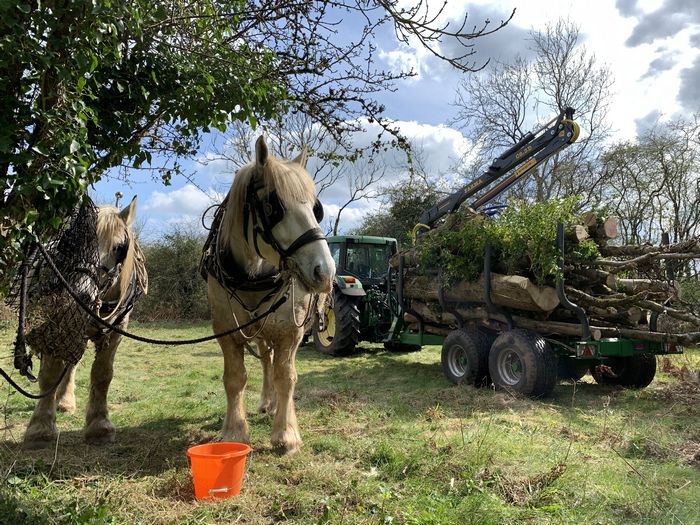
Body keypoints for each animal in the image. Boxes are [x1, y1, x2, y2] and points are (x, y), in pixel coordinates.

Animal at [23, 197, 147, 449]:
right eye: (71, 243)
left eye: (119, 247)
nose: (79, 292)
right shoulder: (55, 325)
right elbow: (49, 374)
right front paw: (40, 429)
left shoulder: (117, 330)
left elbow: (102, 374)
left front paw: (99, 426)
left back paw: (64, 400)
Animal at [201, 135, 334, 454]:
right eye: (274, 206)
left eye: (316, 209)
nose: (325, 272)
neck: (253, 276)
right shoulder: (226, 331)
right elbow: (235, 378)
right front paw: (235, 430)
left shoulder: (290, 332)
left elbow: (286, 376)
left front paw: (286, 434)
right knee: (265, 361)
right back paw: (266, 401)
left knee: (274, 365)